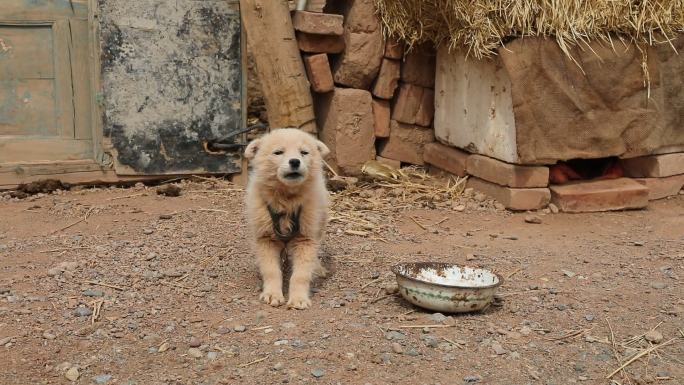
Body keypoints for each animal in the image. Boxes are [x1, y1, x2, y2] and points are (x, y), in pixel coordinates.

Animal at [244, 129, 330, 308]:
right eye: (278, 152)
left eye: (304, 152)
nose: (295, 162)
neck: (286, 200)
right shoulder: (266, 239)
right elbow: (271, 271)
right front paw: (272, 294)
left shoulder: (305, 238)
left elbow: (301, 274)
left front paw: (299, 299)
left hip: (319, 222)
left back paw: (318, 268)